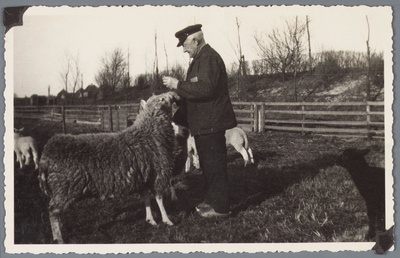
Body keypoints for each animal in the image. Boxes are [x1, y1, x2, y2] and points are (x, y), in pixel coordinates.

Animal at [37, 91, 181, 244]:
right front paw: (167, 220)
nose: (174, 95)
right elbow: (159, 199)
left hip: (61, 189)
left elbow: (146, 198)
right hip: (65, 187)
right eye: (163, 99)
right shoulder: (159, 173)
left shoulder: (144, 176)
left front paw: (150, 220)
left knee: (56, 212)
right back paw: (58, 238)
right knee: (53, 212)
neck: (149, 133)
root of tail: (46, 153)